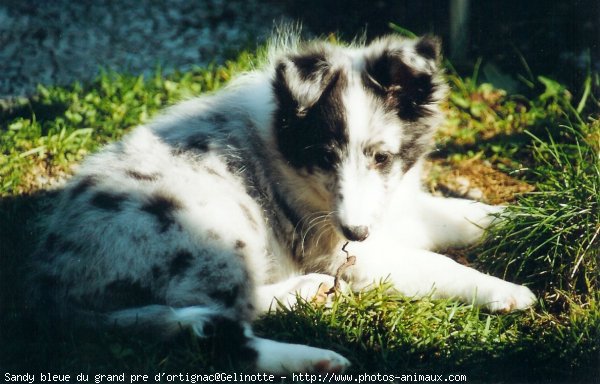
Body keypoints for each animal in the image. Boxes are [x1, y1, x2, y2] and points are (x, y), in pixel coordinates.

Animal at [29, 33, 536, 372]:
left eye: (382, 157)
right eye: (325, 157)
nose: (355, 232)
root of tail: (53, 287)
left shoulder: (394, 209)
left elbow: (462, 215)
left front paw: (522, 221)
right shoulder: (344, 252)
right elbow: (439, 264)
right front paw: (507, 291)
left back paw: (308, 292)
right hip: (212, 226)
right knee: (220, 332)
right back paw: (317, 355)